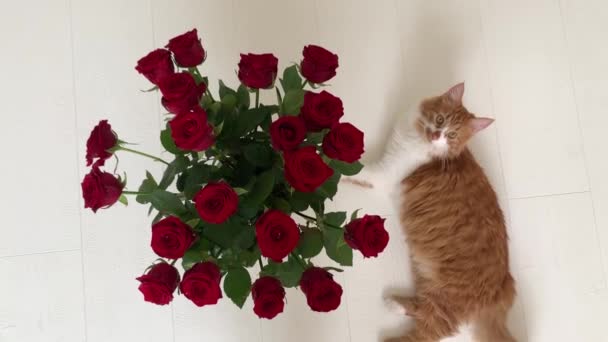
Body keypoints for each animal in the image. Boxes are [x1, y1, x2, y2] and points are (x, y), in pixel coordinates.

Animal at [352, 83, 512, 342]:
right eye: (440, 119)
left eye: (452, 135)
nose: (437, 135)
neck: (417, 139)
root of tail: (505, 283)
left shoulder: (382, 175)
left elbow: (348, 169)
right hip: (427, 279)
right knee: (419, 309)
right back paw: (394, 304)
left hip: (445, 301)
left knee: (426, 332)